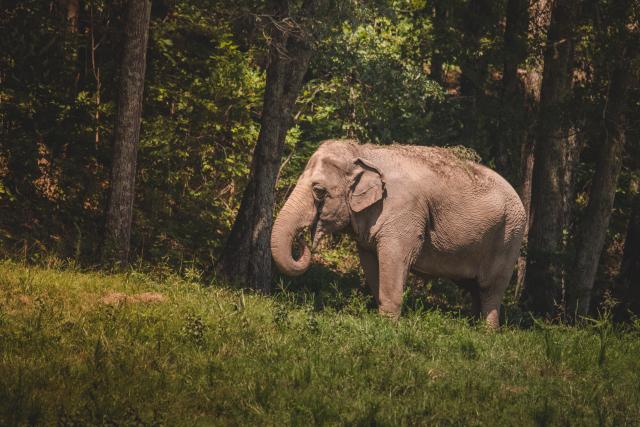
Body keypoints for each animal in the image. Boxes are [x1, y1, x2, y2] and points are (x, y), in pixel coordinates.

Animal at [270, 139, 526, 328]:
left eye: (319, 191)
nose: (302, 240)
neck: (364, 152)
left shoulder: (403, 211)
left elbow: (394, 258)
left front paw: (388, 326)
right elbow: (370, 261)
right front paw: (381, 318)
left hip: (509, 236)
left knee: (490, 287)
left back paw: (487, 332)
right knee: (473, 288)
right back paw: (472, 327)